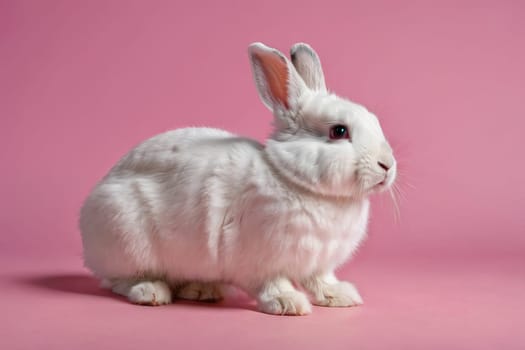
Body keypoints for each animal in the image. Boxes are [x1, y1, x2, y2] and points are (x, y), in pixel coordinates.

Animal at [80, 42, 396, 316]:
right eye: (339, 131)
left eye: (374, 120)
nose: (387, 165)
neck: (295, 180)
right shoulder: (261, 261)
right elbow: (272, 283)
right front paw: (288, 303)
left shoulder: (317, 263)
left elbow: (320, 280)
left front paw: (341, 296)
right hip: (127, 238)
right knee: (118, 281)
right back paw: (151, 291)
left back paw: (203, 290)